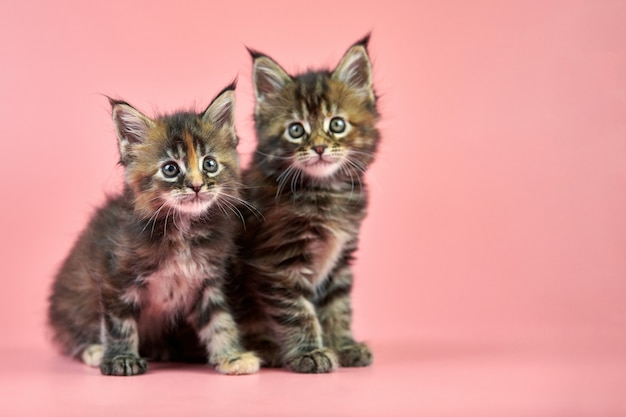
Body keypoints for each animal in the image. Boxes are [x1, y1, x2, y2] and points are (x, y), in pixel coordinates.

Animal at [47, 83, 258, 376]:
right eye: (170, 169)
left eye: (209, 164)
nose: (196, 185)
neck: (182, 229)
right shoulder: (115, 277)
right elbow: (119, 323)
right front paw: (121, 359)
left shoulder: (208, 282)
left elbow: (220, 321)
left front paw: (232, 356)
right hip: (74, 299)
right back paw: (94, 350)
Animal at [232, 35, 380, 372]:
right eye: (296, 130)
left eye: (336, 124)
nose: (320, 148)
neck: (325, 192)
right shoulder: (278, 261)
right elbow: (297, 312)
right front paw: (308, 353)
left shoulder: (340, 261)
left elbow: (338, 308)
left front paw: (344, 345)